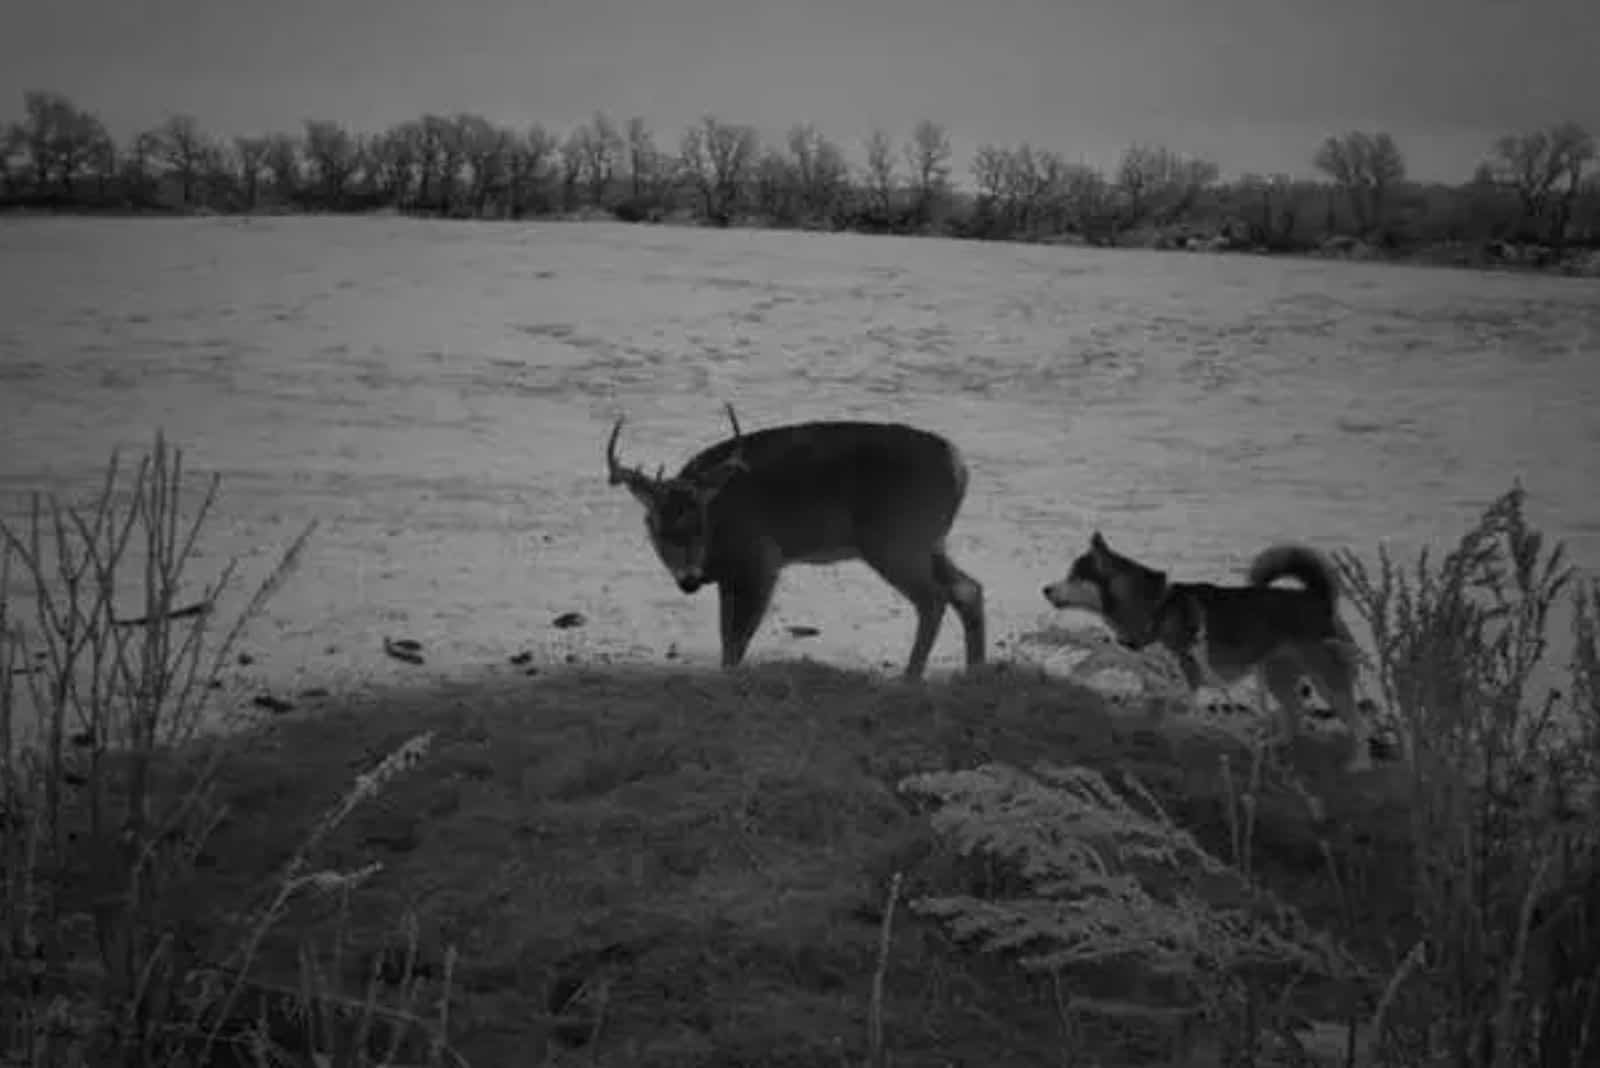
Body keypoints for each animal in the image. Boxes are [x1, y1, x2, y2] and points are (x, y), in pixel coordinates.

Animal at [601, 404, 985, 681]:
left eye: (700, 523)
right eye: (656, 527)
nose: (689, 580)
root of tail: (960, 467)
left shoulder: (761, 558)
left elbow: (736, 641)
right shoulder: (730, 575)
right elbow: (728, 636)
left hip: (896, 538)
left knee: (934, 598)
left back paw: (910, 677)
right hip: (928, 541)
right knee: (968, 588)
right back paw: (973, 672)